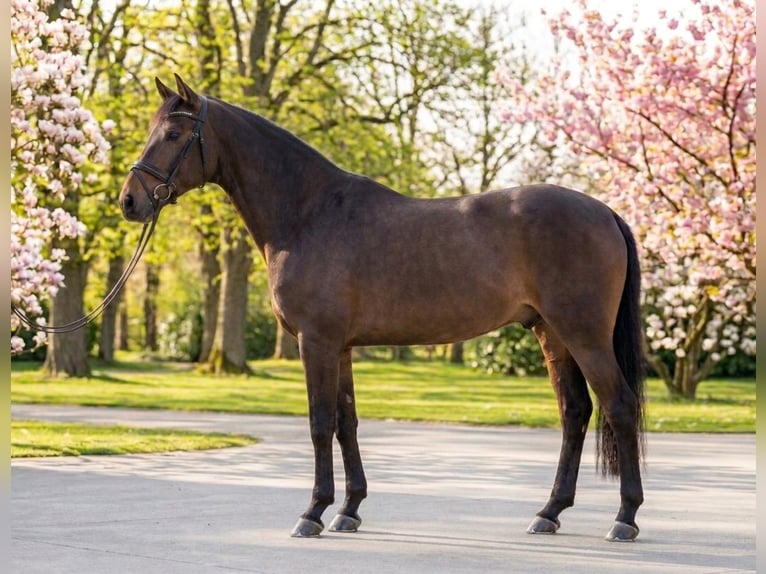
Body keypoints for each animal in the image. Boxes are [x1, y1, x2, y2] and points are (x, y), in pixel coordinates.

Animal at [119, 74, 646, 542]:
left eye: (173, 134)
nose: (129, 201)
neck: (309, 213)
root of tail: (605, 212)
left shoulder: (317, 342)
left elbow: (319, 423)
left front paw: (312, 512)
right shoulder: (341, 347)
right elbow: (346, 423)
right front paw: (348, 510)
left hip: (584, 334)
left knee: (618, 406)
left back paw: (625, 518)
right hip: (551, 333)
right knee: (575, 412)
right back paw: (549, 512)